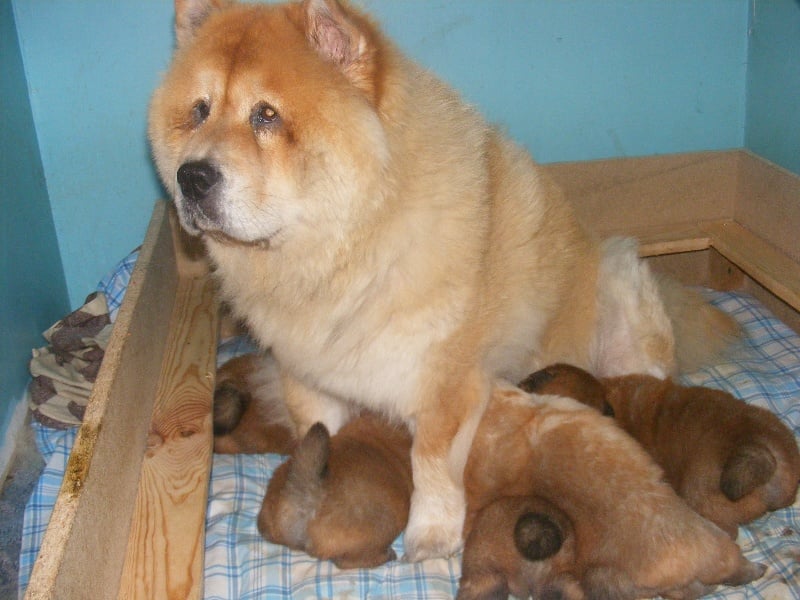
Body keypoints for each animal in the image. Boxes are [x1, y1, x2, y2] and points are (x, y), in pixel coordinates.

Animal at [149, 0, 739, 559]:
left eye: (266, 115)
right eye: (199, 111)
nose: (191, 177)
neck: (338, 254)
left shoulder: (443, 384)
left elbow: (430, 463)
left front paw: (431, 535)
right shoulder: (309, 378)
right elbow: (321, 435)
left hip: (621, 285)